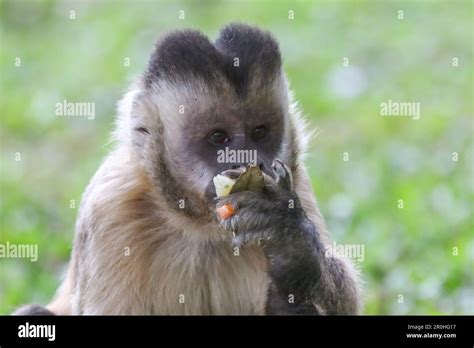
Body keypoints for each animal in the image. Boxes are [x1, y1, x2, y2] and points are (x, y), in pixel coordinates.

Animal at [15, 21, 362, 316]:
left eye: (259, 132)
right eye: (218, 137)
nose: (249, 161)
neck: (200, 224)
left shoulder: (292, 180)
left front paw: (292, 246)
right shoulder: (110, 203)